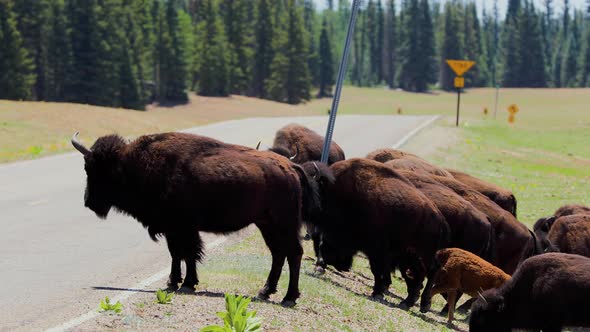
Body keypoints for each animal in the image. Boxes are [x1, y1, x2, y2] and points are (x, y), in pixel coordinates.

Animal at [73, 130, 324, 306]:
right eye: (87, 166)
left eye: (97, 170)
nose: (88, 201)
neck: (135, 164)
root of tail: (291, 166)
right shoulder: (174, 229)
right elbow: (177, 254)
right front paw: (174, 282)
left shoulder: (182, 227)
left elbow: (188, 253)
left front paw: (185, 284)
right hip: (266, 225)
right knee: (278, 254)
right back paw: (265, 292)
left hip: (283, 225)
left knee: (294, 253)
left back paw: (288, 298)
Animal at [302, 158, 450, 312]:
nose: (340, 264)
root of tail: (440, 219)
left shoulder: (376, 250)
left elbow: (377, 270)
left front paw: (377, 293)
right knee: (421, 273)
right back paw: (410, 302)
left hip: (422, 254)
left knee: (429, 271)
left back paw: (420, 304)